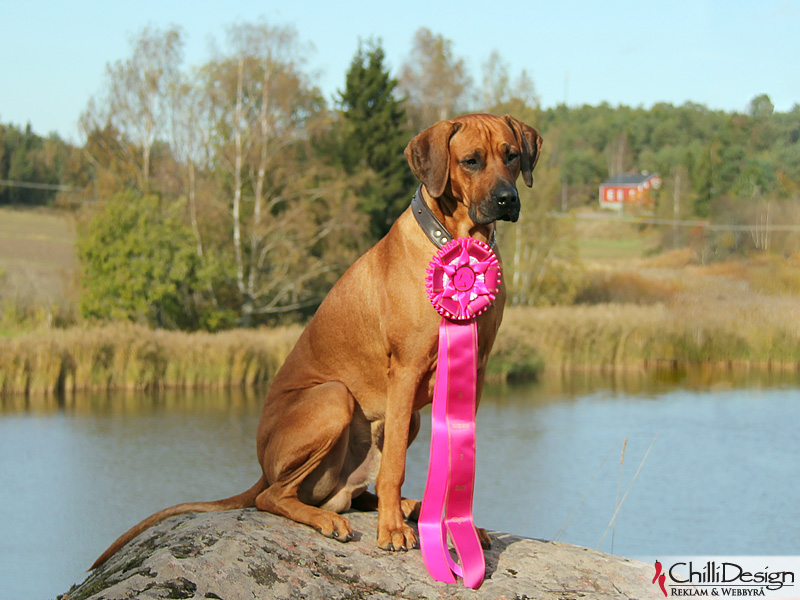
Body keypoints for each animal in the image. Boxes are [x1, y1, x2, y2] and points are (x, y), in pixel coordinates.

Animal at [94, 115, 544, 568]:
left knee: (358, 493)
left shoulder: (476, 371)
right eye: (471, 161)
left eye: (511, 155)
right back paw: (343, 518)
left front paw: (456, 526)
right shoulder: (407, 367)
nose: (507, 200)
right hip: (334, 397)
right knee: (275, 497)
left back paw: (408, 507)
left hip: (397, 421)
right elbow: (395, 466)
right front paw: (393, 531)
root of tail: (261, 468)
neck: (456, 241)